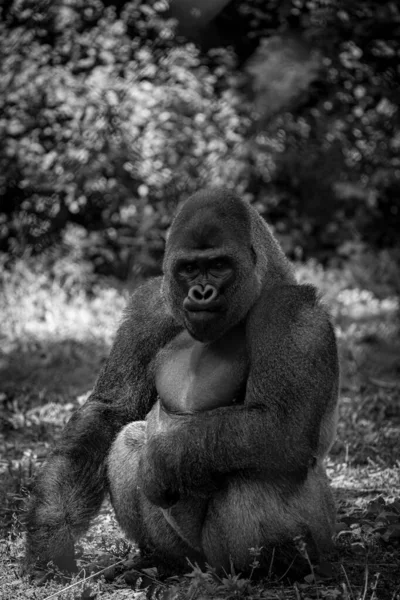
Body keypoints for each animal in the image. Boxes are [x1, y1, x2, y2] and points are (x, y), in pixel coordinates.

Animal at [24, 188, 338, 576]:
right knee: (130, 438)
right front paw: (51, 532)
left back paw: (279, 560)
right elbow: (111, 412)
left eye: (218, 266)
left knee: (260, 460)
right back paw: (161, 560)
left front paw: (159, 464)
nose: (202, 292)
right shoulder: (151, 306)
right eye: (189, 269)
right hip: (190, 552)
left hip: (309, 536)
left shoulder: (293, 314)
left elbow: (282, 427)